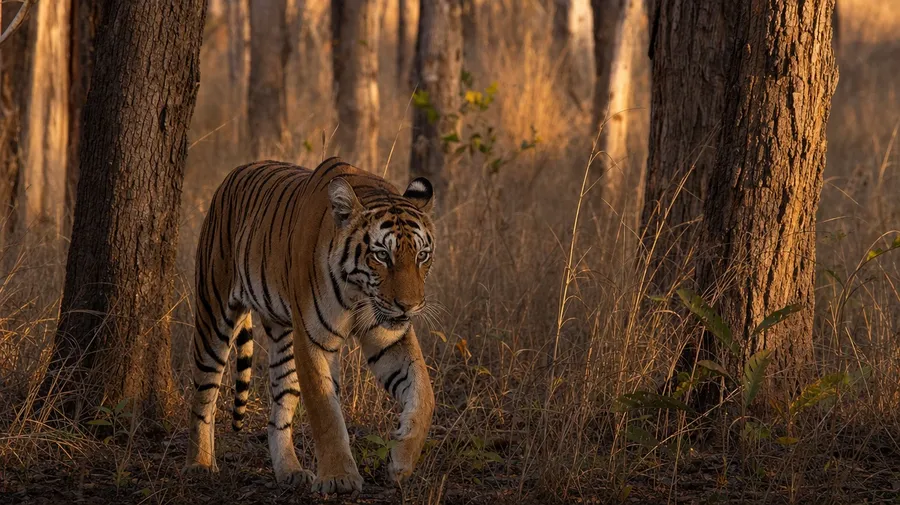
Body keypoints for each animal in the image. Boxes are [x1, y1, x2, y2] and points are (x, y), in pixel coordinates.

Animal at [184, 157, 436, 494]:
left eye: (422, 255)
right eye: (382, 255)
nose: (409, 306)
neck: (359, 293)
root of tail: (236, 171)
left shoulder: (388, 337)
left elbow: (424, 394)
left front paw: (401, 462)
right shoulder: (313, 338)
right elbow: (325, 409)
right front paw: (339, 478)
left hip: (284, 337)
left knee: (280, 409)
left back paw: (290, 471)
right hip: (214, 311)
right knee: (204, 392)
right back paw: (199, 464)